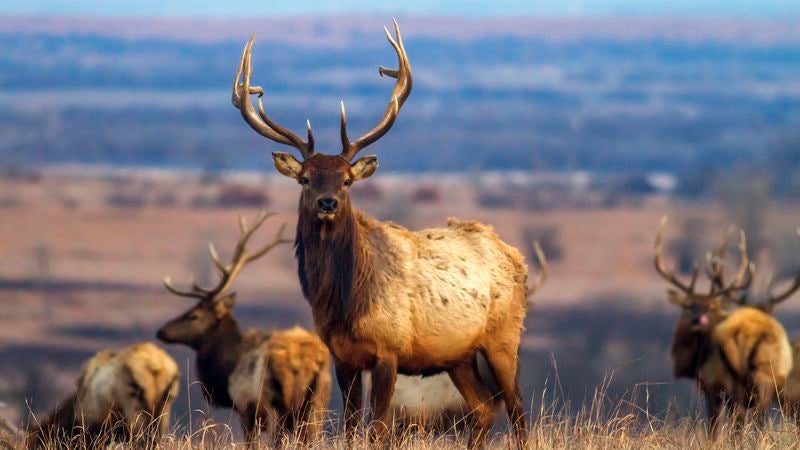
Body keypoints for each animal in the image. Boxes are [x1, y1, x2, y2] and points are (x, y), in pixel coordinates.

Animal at [156, 213, 332, 444]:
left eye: (194, 315)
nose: (161, 331)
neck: (227, 368)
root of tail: (309, 359)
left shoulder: (246, 408)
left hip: (278, 404)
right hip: (317, 403)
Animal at [230, 18, 532, 446]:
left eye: (346, 180)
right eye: (305, 178)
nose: (327, 203)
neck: (345, 302)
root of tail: (514, 257)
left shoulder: (389, 351)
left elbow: (378, 429)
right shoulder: (342, 357)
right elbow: (352, 425)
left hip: (505, 337)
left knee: (517, 409)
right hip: (457, 355)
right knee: (485, 407)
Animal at [656, 218, 792, 432]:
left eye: (711, 306)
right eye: (687, 305)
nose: (699, 320)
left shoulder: (713, 386)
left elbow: (714, 427)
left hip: (737, 383)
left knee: (743, 419)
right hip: (766, 377)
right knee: (758, 418)